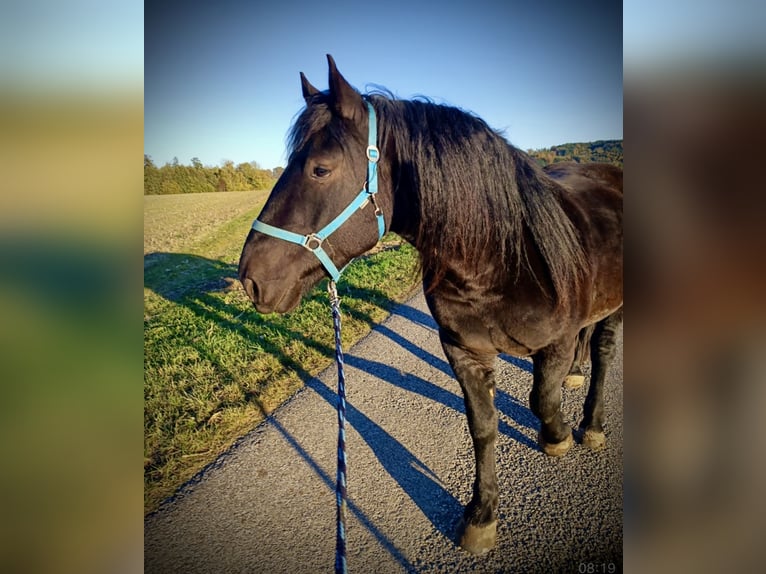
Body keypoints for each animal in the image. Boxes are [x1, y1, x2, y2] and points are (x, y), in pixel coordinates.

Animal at [240, 56, 624, 556]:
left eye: (320, 170)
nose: (249, 278)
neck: (503, 258)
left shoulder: (553, 344)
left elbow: (542, 399)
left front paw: (557, 437)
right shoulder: (463, 352)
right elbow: (483, 426)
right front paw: (482, 515)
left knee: (603, 354)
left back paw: (592, 424)